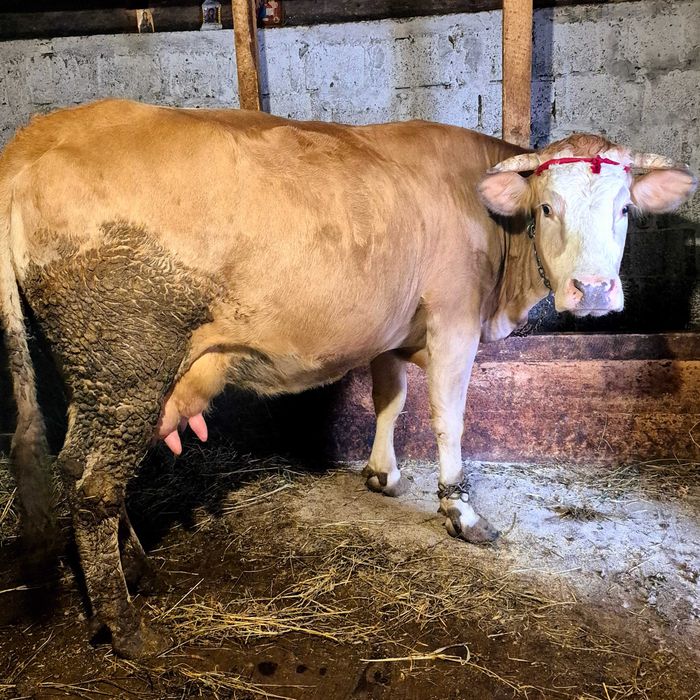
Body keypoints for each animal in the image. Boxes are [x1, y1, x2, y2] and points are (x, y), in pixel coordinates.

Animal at [0, 99, 696, 657]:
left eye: (626, 209)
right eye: (547, 207)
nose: (595, 290)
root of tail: (37, 136)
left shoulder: (390, 328)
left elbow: (390, 399)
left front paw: (382, 473)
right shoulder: (454, 319)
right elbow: (447, 416)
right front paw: (461, 511)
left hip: (95, 372)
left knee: (75, 468)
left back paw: (137, 572)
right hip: (127, 361)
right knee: (93, 487)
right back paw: (126, 625)